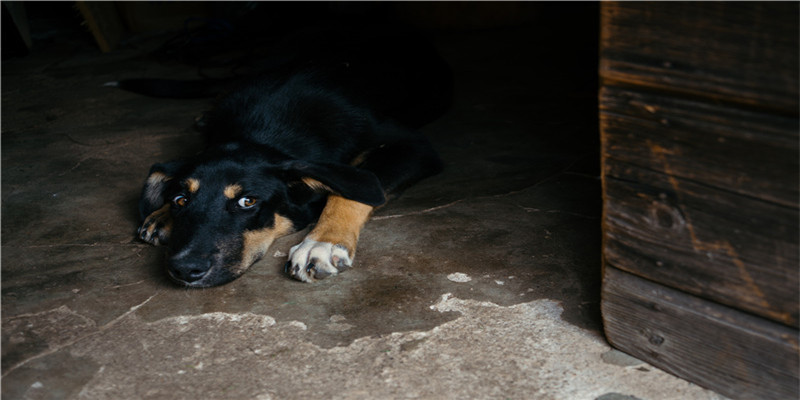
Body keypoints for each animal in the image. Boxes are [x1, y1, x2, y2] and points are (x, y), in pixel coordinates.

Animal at [131, 26, 450, 286]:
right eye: (180, 200)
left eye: (248, 202)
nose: (184, 269)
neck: (262, 127)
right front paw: (161, 213)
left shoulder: (413, 145)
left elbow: (351, 189)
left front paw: (323, 241)